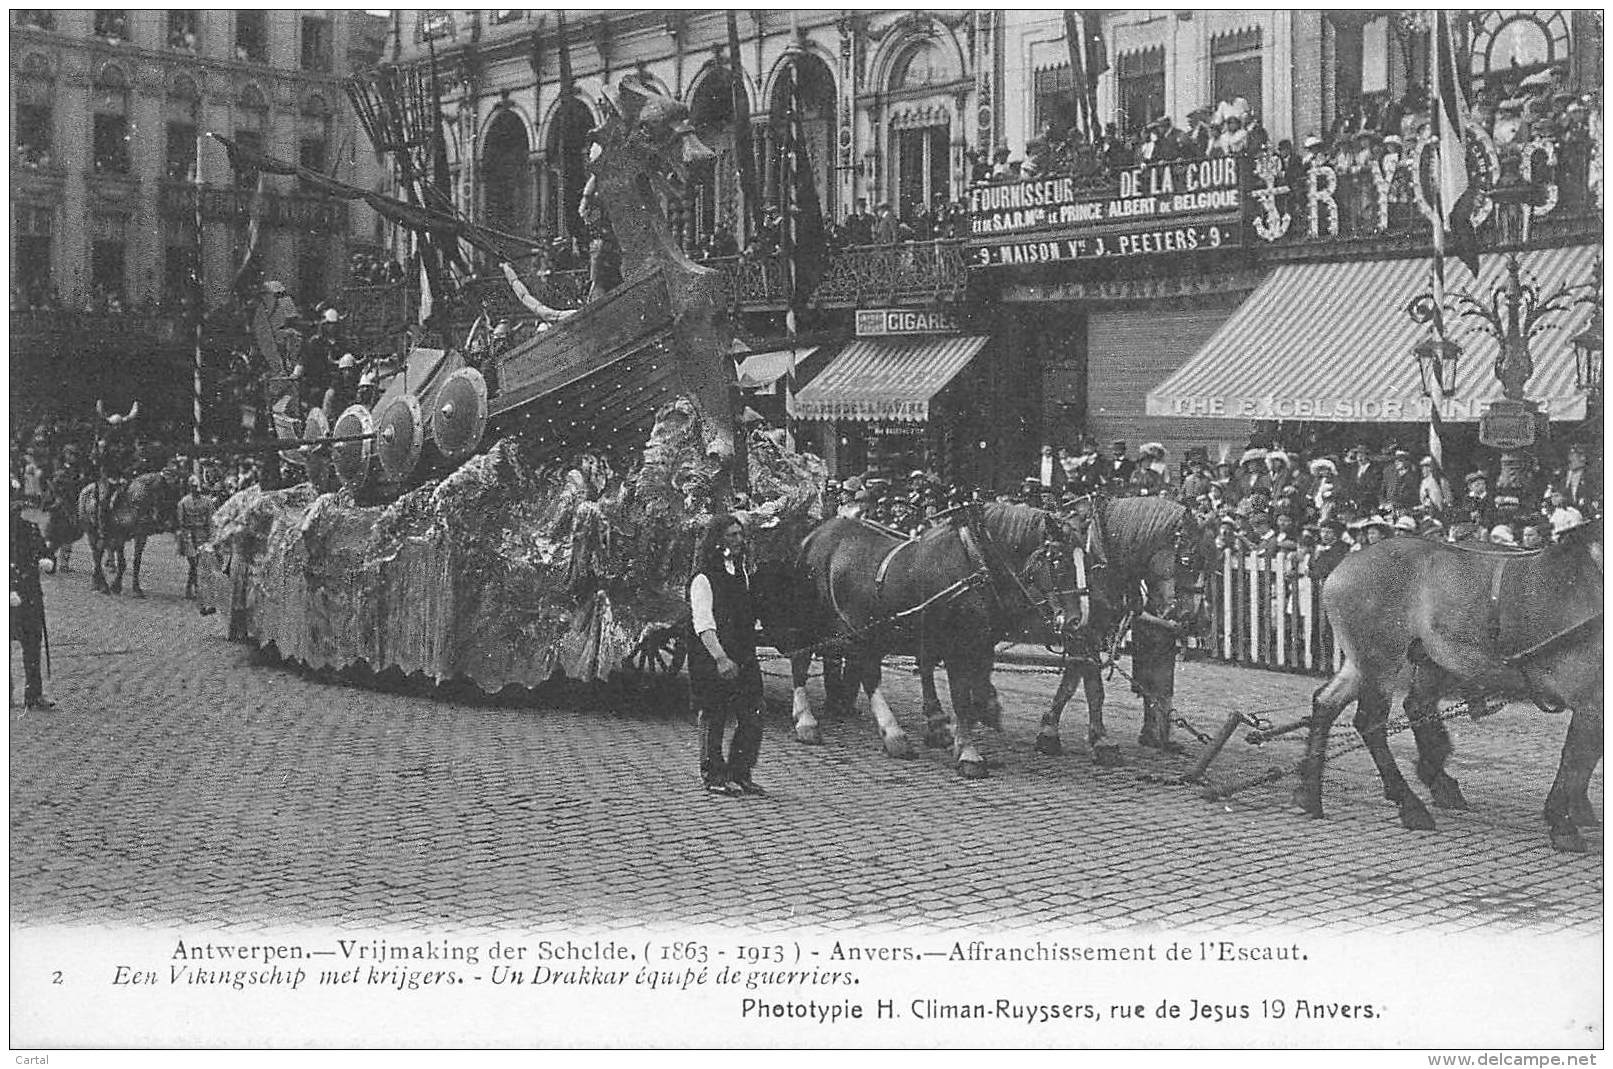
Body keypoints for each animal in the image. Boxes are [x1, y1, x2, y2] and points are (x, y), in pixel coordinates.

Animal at [754, 503, 1083, 777]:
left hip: (860, 629)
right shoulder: (956, 647)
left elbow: (977, 692)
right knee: (802, 662)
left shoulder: (981, 644)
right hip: (811, 622)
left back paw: (888, 733)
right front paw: (969, 754)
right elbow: (962, 699)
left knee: (865, 671)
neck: (976, 563)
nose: (1074, 621)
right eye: (1057, 560)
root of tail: (812, 537)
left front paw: (974, 722)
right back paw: (810, 723)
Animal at [1309, 528, 1600, 851]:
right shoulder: (1591, 699)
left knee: (1329, 702)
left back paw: (1309, 793)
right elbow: (1576, 759)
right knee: (1371, 723)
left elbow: (1586, 757)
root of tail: (1343, 566)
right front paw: (1562, 823)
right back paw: (1411, 805)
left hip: (1378, 661)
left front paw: (1577, 810)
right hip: (1381, 661)